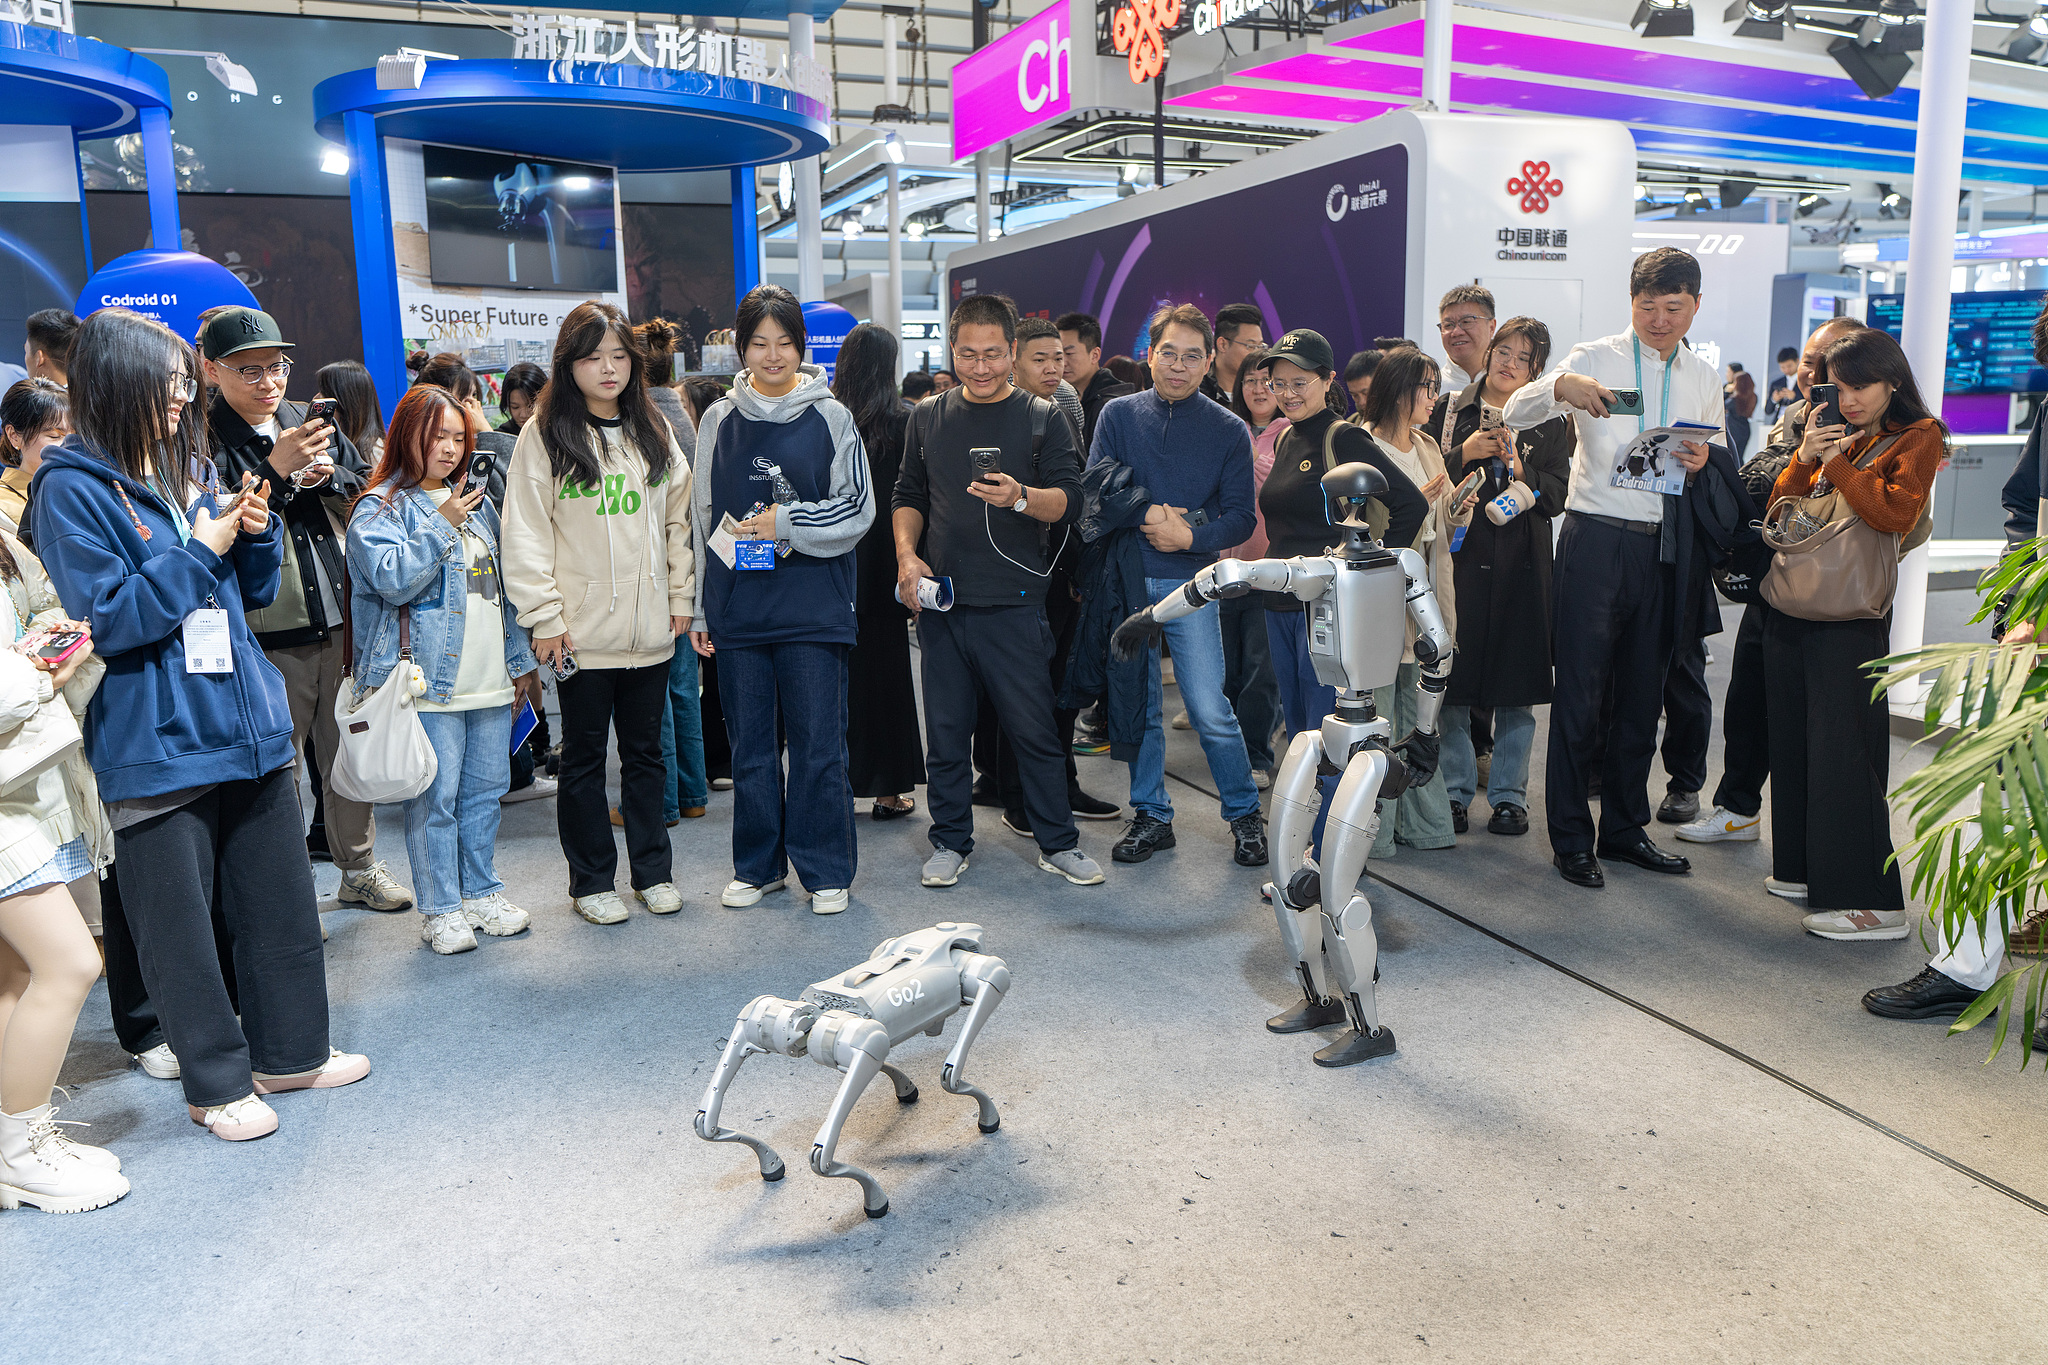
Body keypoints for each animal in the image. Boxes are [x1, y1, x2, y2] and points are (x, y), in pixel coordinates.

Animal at [1122, 464, 1458, 1072]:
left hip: (1368, 763)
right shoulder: (1319, 572)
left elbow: (1435, 649)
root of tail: (1351, 734)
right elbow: (1236, 578)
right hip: (1313, 746)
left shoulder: (1382, 567)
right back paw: (1317, 1008)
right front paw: (1138, 625)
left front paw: (1422, 749)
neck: (1361, 551)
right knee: (1292, 882)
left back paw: (1367, 1037)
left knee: (1339, 905)